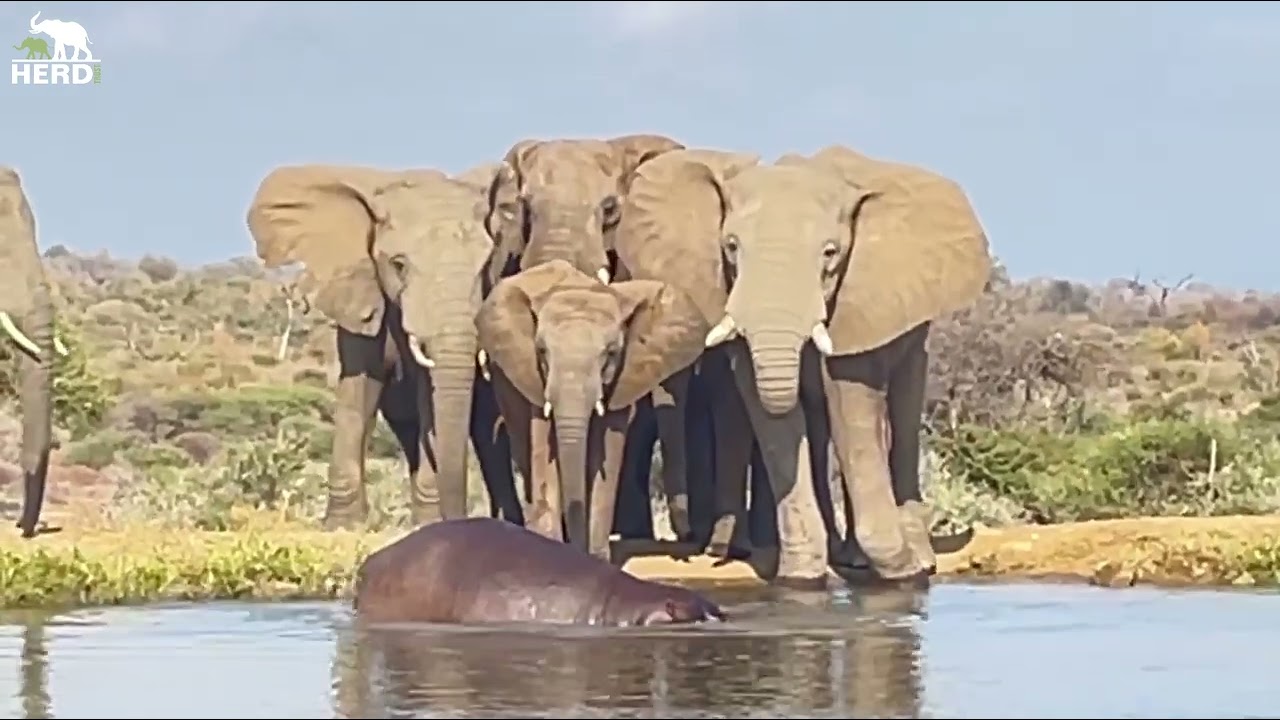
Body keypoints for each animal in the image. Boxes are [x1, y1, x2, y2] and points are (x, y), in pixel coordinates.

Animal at [246, 164, 517, 529]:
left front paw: (426, 523)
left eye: (487, 264)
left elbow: (427, 397)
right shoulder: (360, 295)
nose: (458, 518)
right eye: (398, 265)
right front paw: (342, 526)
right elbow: (358, 390)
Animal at [475, 260, 708, 558]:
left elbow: (607, 449)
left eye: (610, 353)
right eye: (541, 351)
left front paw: (597, 557)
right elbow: (545, 451)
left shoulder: (622, 378)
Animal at [616, 147, 992, 585]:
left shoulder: (859, 301)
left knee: (900, 410)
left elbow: (851, 402)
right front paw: (801, 577)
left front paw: (902, 572)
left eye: (830, 253)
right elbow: (771, 415)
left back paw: (913, 560)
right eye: (731, 247)